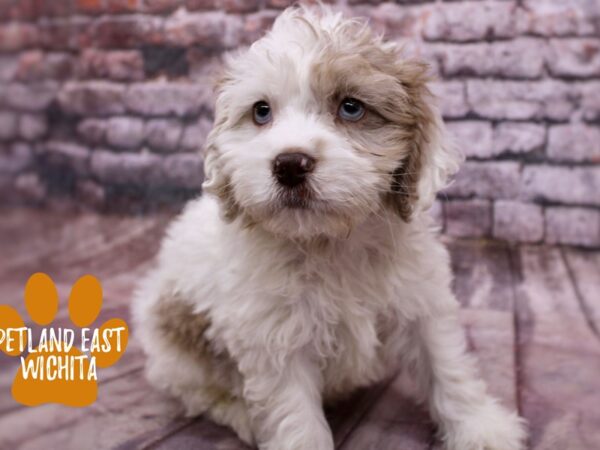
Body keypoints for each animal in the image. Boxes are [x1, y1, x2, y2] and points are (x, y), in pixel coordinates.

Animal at [131, 4, 524, 450]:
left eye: (351, 107)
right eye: (261, 112)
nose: (289, 164)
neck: (330, 241)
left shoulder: (420, 302)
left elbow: (447, 366)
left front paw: (481, 428)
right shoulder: (274, 339)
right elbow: (295, 416)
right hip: (174, 343)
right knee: (200, 391)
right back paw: (240, 414)